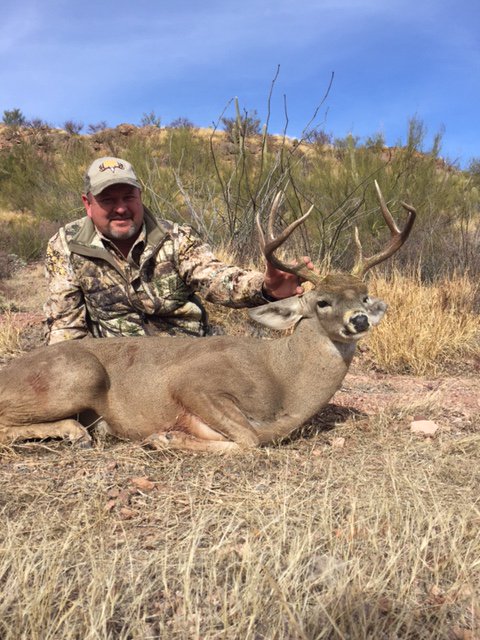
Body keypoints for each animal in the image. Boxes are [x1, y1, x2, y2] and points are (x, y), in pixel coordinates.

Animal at [0, 182, 416, 453]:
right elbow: (249, 440)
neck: (285, 384)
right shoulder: (193, 382)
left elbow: (248, 439)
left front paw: (168, 438)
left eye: (364, 296)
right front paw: (164, 437)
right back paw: (75, 433)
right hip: (79, 374)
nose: (359, 320)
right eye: (322, 302)